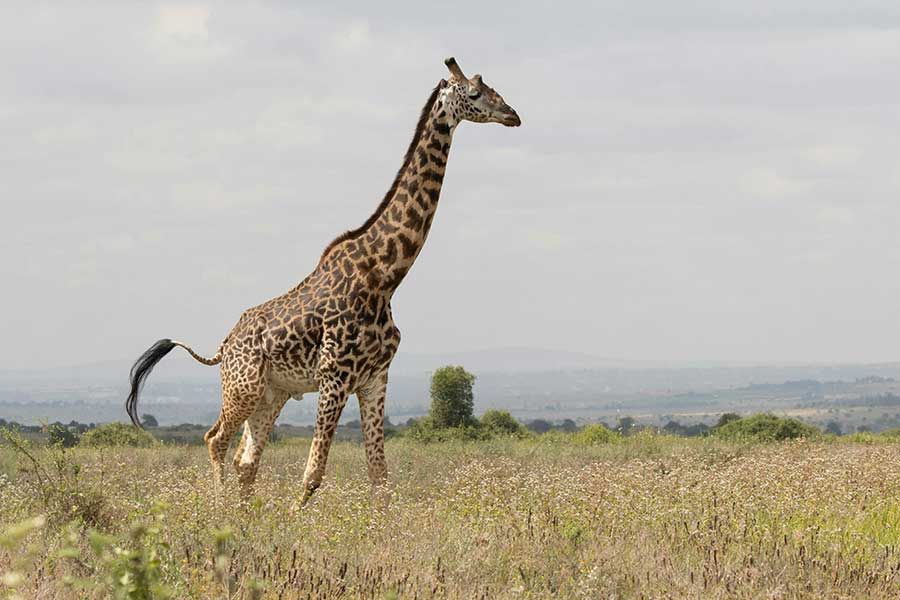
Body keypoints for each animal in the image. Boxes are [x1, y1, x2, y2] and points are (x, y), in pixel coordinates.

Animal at [125, 57, 521, 502]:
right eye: (474, 93)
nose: (513, 115)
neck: (385, 276)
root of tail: (223, 346)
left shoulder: (375, 378)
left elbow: (380, 477)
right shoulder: (335, 376)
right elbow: (313, 474)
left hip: (272, 393)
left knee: (246, 460)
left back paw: (244, 515)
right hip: (243, 387)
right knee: (215, 440)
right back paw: (221, 509)